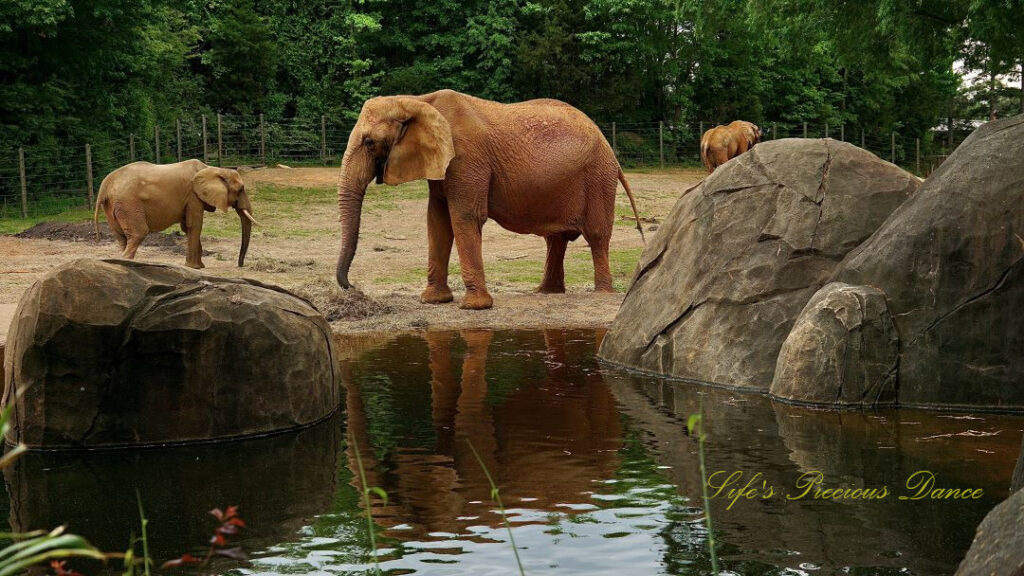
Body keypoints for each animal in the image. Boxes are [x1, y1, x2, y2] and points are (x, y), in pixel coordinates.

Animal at [93, 157, 260, 268]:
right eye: (240, 189)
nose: (240, 265)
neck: (213, 169)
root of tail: (105, 185)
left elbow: (187, 227)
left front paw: (199, 266)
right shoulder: (193, 196)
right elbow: (195, 225)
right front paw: (194, 267)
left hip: (113, 208)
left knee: (121, 237)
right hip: (129, 204)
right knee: (139, 233)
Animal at [333, 88, 638, 309]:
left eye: (369, 143)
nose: (353, 288)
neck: (417, 101)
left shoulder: (467, 158)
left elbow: (464, 216)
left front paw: (474, 307)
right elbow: (437, 220)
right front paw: (433, 301)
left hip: (598, 177)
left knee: (597, 234)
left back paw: (601, 294)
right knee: (556, 239)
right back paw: (546, 293)